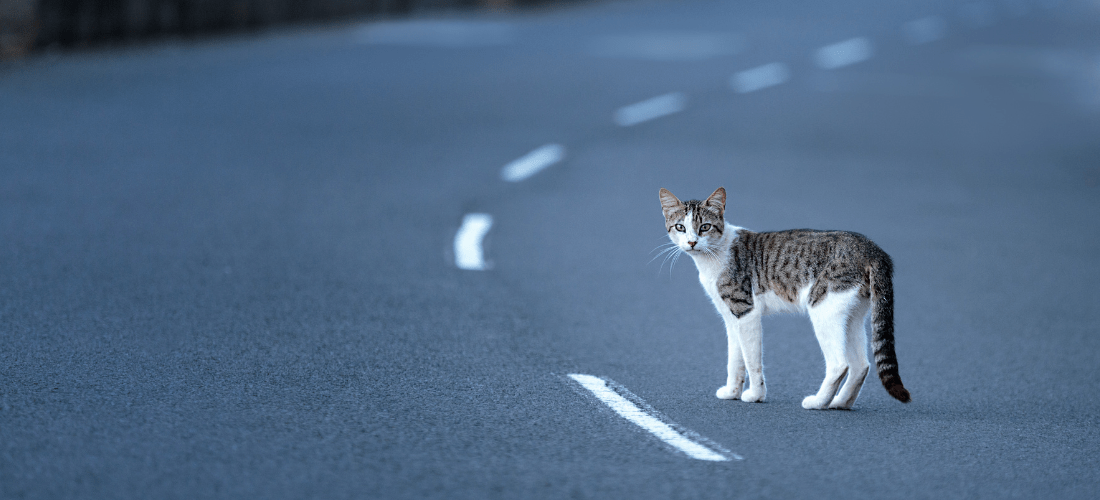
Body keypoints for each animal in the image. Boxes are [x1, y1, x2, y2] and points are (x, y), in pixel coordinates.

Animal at [655, 185, 906, 408]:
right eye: (680, 227)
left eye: (705, 227)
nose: (692, 242)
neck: (712, 257)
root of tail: (874, 250)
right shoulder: (731, 317)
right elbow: (735, 359)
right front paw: (732, 392)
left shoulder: (746, 311)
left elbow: (752, 359)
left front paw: (755, 395)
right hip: (852, 314)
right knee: (861, 365)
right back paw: (840, 403)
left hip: (824, 307)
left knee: (839, 364)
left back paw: (818, 403)